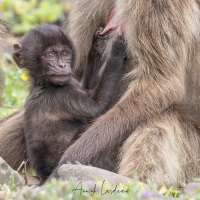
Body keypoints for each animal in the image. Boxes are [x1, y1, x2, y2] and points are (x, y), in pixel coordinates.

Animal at [0, 0, 200, 188]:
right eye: (50, 55)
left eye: (63, 54)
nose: (60, 65)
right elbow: (78, 77)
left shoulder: (155, 4)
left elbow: (161, 83)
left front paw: (63, 166)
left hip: (192, 155)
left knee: (158, 120)